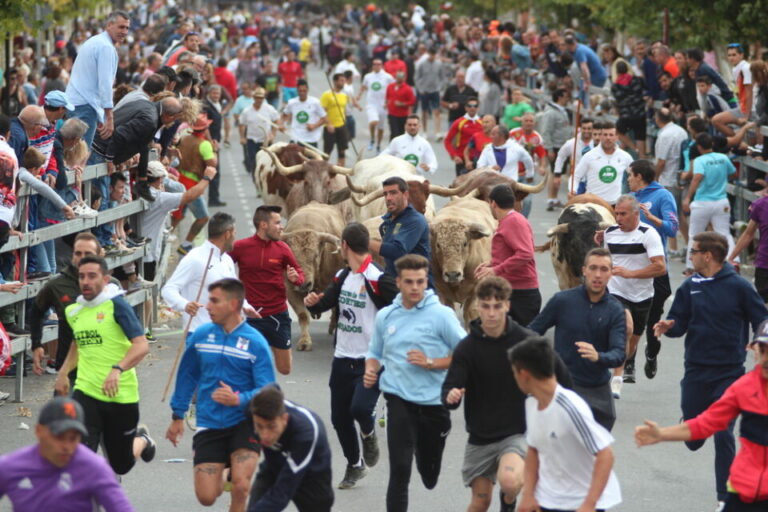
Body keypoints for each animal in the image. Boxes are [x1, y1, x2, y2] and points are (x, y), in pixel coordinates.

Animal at [282, 202, 344, 350]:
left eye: (315, 255)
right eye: (291, 256)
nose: (304, 284)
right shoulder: (291, 290)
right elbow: (303, 315)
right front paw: (305, 341)